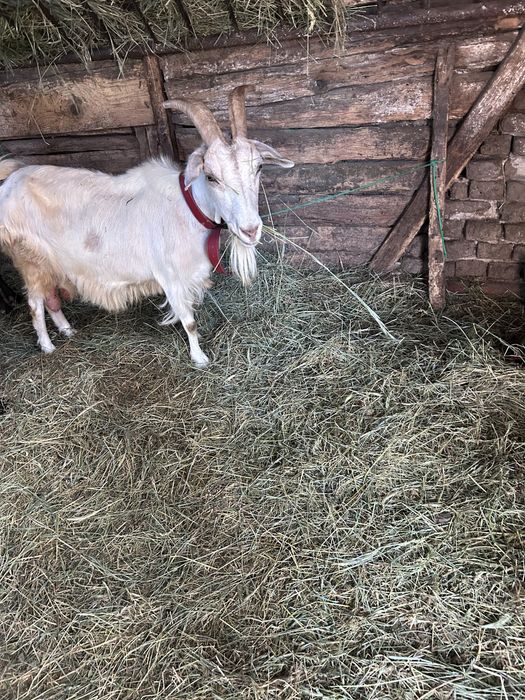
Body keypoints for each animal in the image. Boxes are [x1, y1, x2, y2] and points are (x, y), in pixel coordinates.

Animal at [0, 87, 293, 366]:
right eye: (211, 176)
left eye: (259, 167)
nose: (250, 230)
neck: (186, 209)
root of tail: (10, 182)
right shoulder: (171, 277)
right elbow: (189, 321)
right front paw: (200, 359)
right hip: (28, 260)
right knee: (35, 303)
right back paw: (47, 345)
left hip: (50, 263)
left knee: (50, 298)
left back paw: (67, 330)